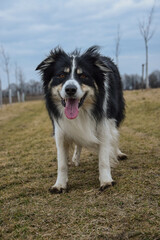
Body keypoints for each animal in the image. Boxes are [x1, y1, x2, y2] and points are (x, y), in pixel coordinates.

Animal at [36, 45, 126, 193]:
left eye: (83, 76)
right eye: (61, 75)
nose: (70, 89)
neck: (82, 111)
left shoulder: (103, 124)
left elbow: (104, 157)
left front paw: (106, 181)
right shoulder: (61, 130)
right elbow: (61, 163)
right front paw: (59, 184)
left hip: (115, 114)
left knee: (115, 134)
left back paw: (118, 152)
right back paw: (76, 158)